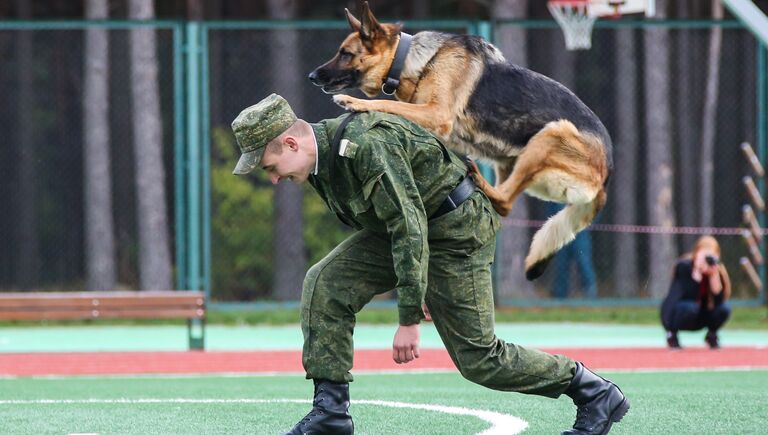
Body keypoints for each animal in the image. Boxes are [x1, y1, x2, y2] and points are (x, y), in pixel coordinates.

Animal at [306, 2, 612, 282]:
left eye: (345, 53)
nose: (311, 76)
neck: (412, 61)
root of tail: (604, 178)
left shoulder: (436, 114)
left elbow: (385, 103)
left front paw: (353, 102)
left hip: (551, 132)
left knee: (506, 202)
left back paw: (478, 177)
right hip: (508, 158)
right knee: (505, 202)